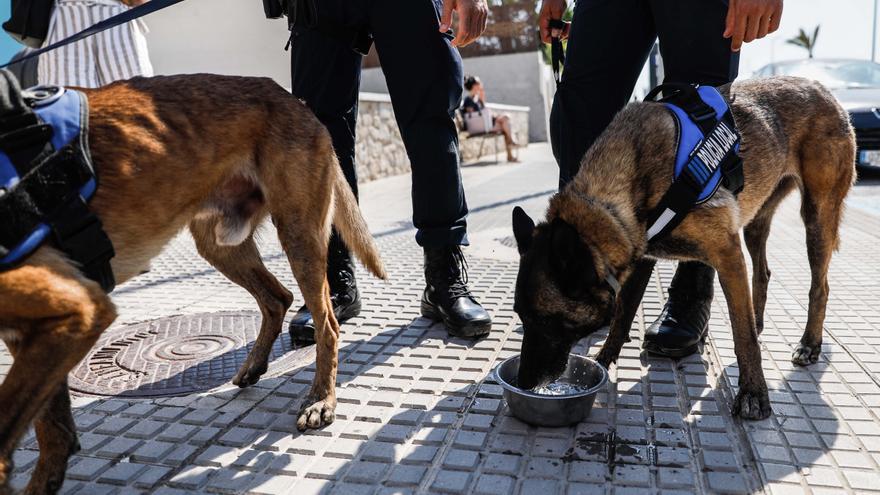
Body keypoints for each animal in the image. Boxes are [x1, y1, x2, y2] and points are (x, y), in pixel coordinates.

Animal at [0, 74, 384, 495]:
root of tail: (292, 99)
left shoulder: (77, 309)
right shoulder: (39, 331)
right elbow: (51, 427)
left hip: (298, 232)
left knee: (326, 324)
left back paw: (320, 400)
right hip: (219, 244)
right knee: (277, 297)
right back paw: (254, 366)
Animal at [512, 76, 856, 422]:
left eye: (546, 321)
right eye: (521, 317)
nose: (523, 382)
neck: (620, 190)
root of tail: (822, 88)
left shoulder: (727, 255)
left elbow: (742, 337)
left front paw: (753, 393)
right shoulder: (641, 256)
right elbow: (623, 313)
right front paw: (604, 359)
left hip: (817, 216)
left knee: (820, 287)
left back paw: (809, 344)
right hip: (755, 224)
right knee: (763, 273)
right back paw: (759, 320)